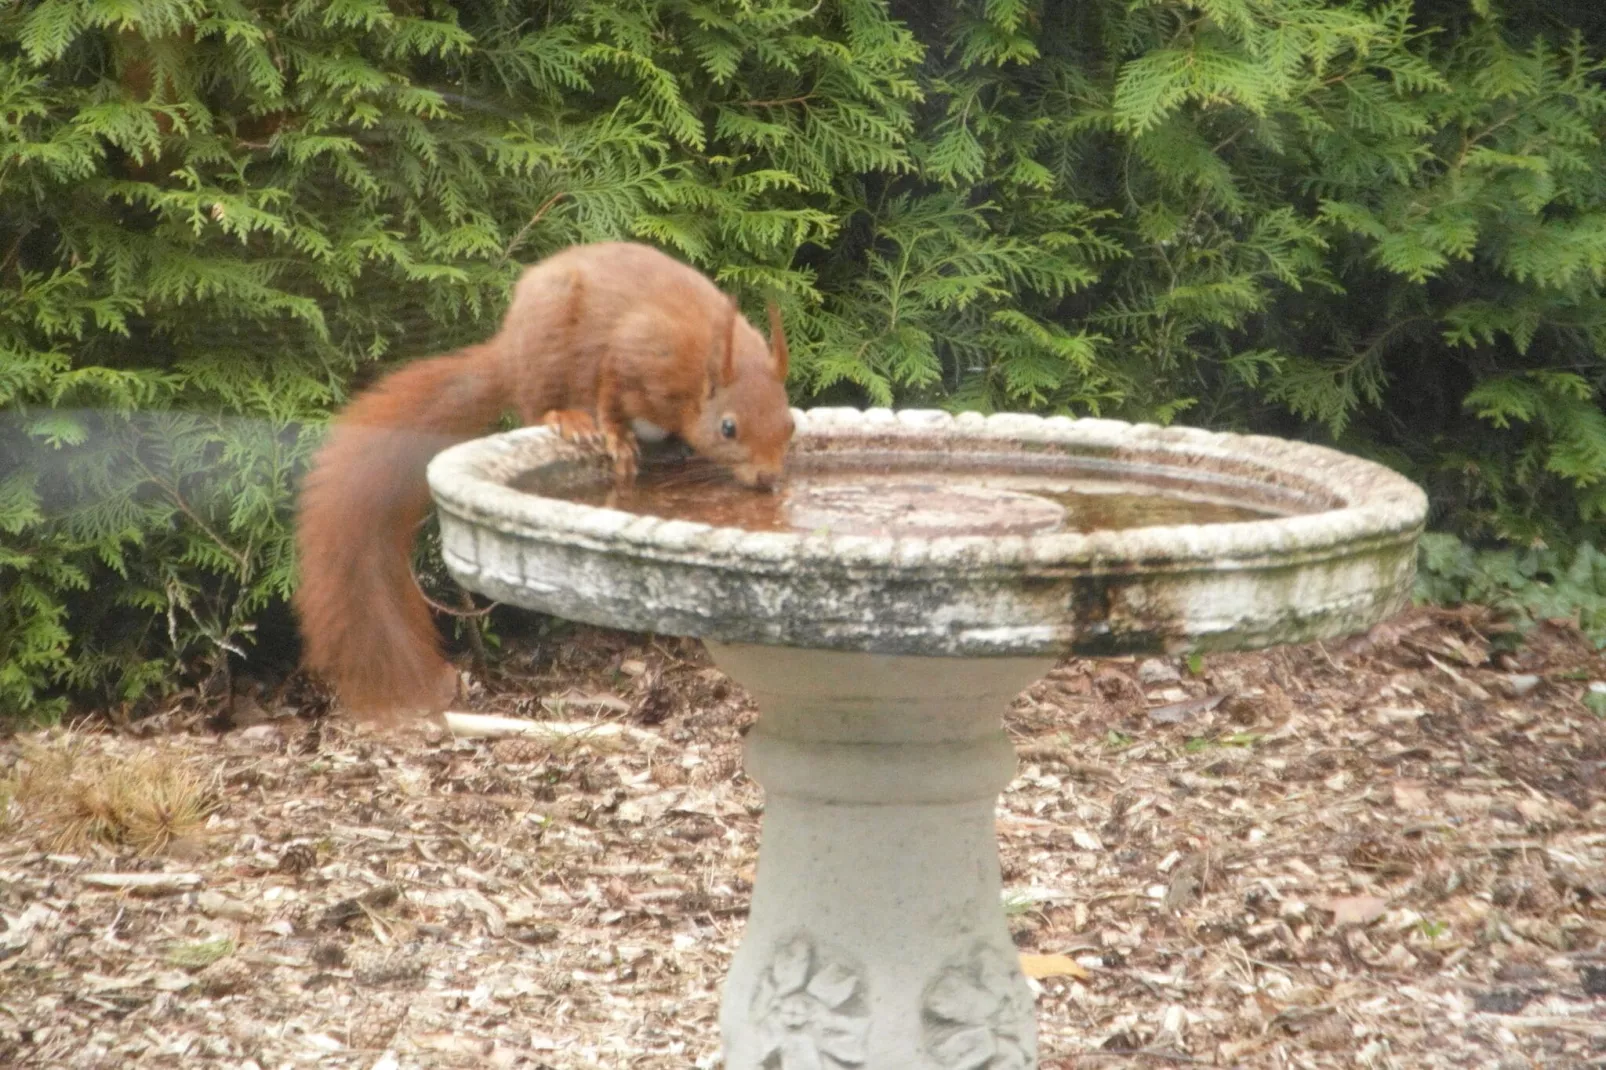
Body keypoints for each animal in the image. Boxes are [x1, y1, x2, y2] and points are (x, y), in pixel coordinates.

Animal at [295, 240, 796, 719]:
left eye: (790, 425)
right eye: (729, 428)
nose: (769, 477)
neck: (698, 375)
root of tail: (509, 347)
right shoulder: (636, 354)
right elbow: (610, 392)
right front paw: (618, 439)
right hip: (548, 349)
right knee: (539, 403)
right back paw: (569, 419)